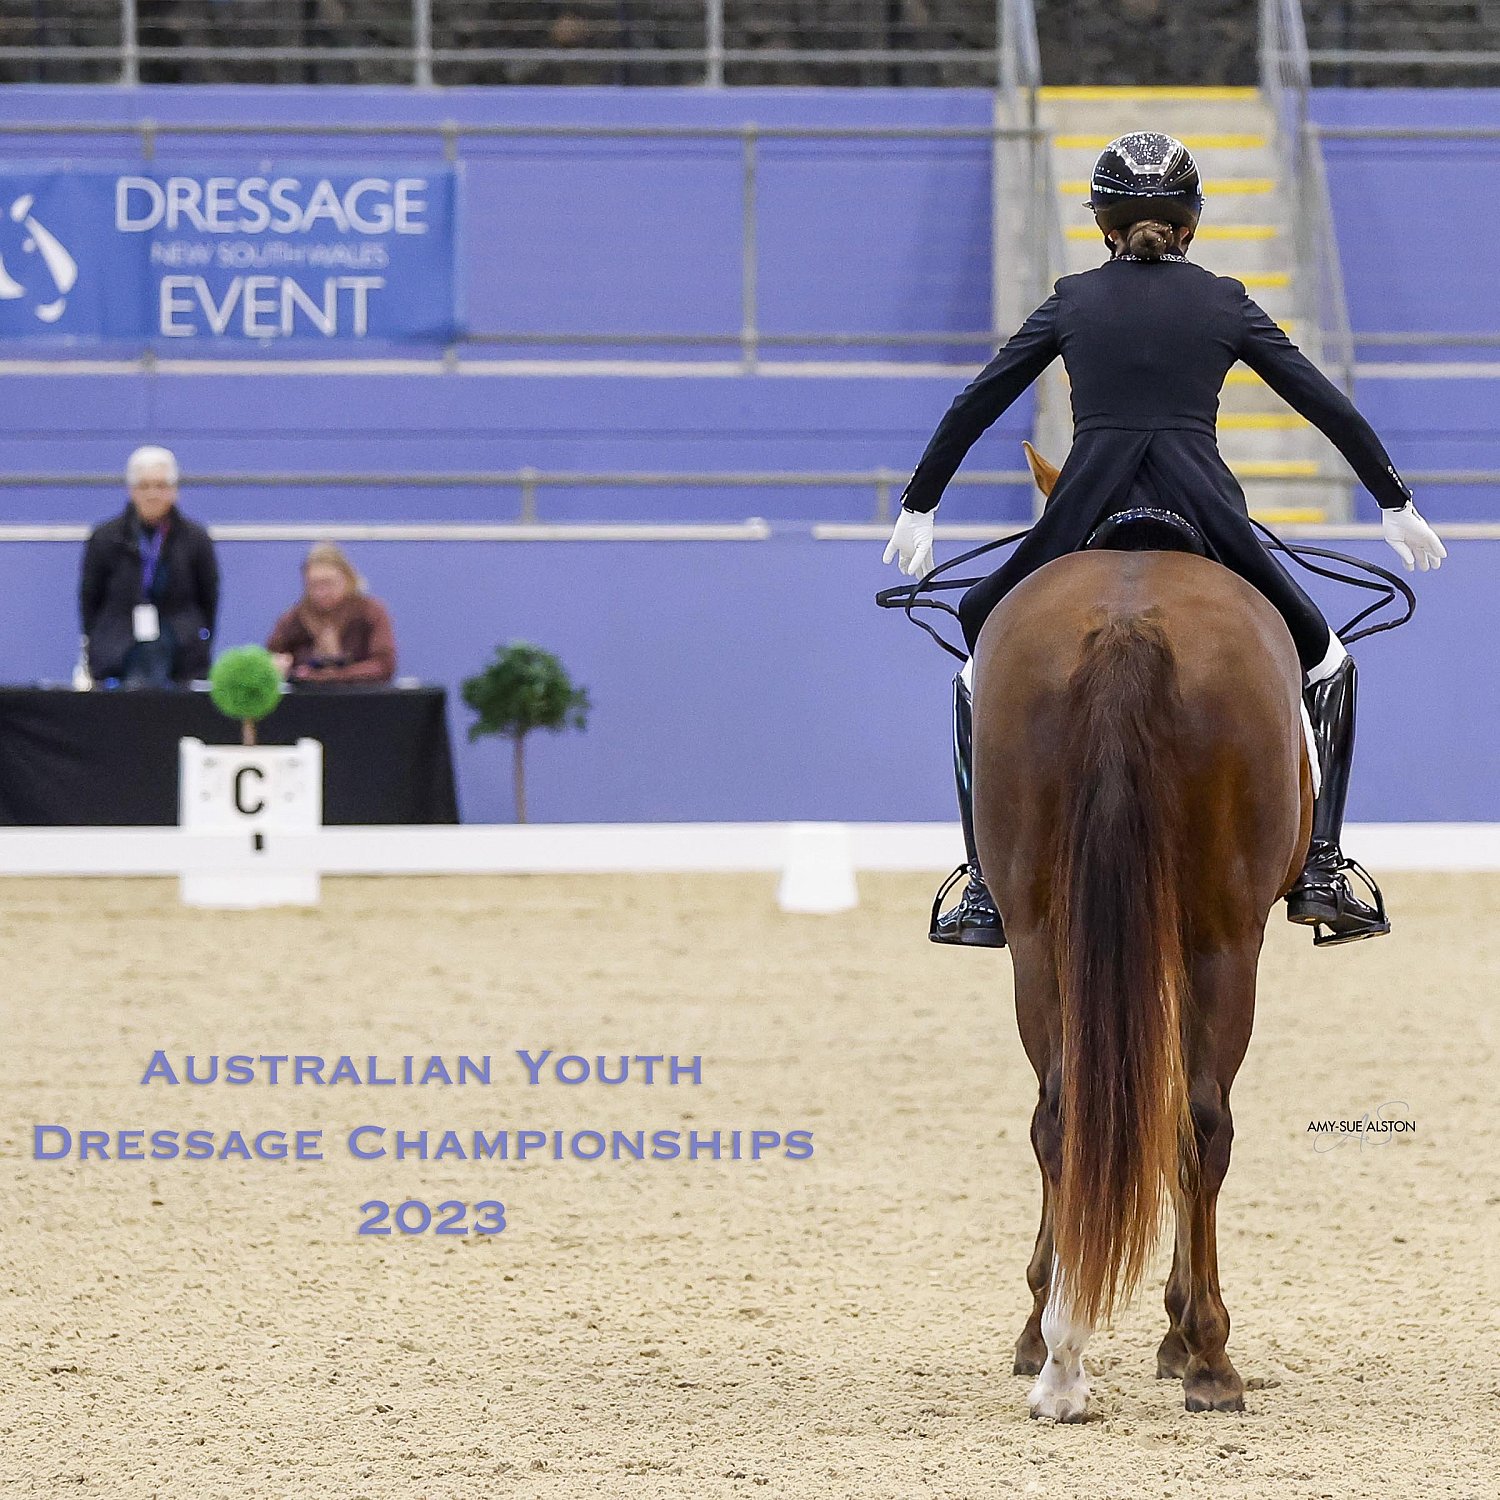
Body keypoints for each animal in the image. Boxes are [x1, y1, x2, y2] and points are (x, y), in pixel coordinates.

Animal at [978, 450, 1308, 1422]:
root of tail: (1127, 623)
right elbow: (1183, 1118)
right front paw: (1178, 1337)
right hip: (1224, 939)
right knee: (1202, 1123)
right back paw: (1209, 1359)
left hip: (1038, 938)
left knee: (1061, 1115)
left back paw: (1056, 1358)